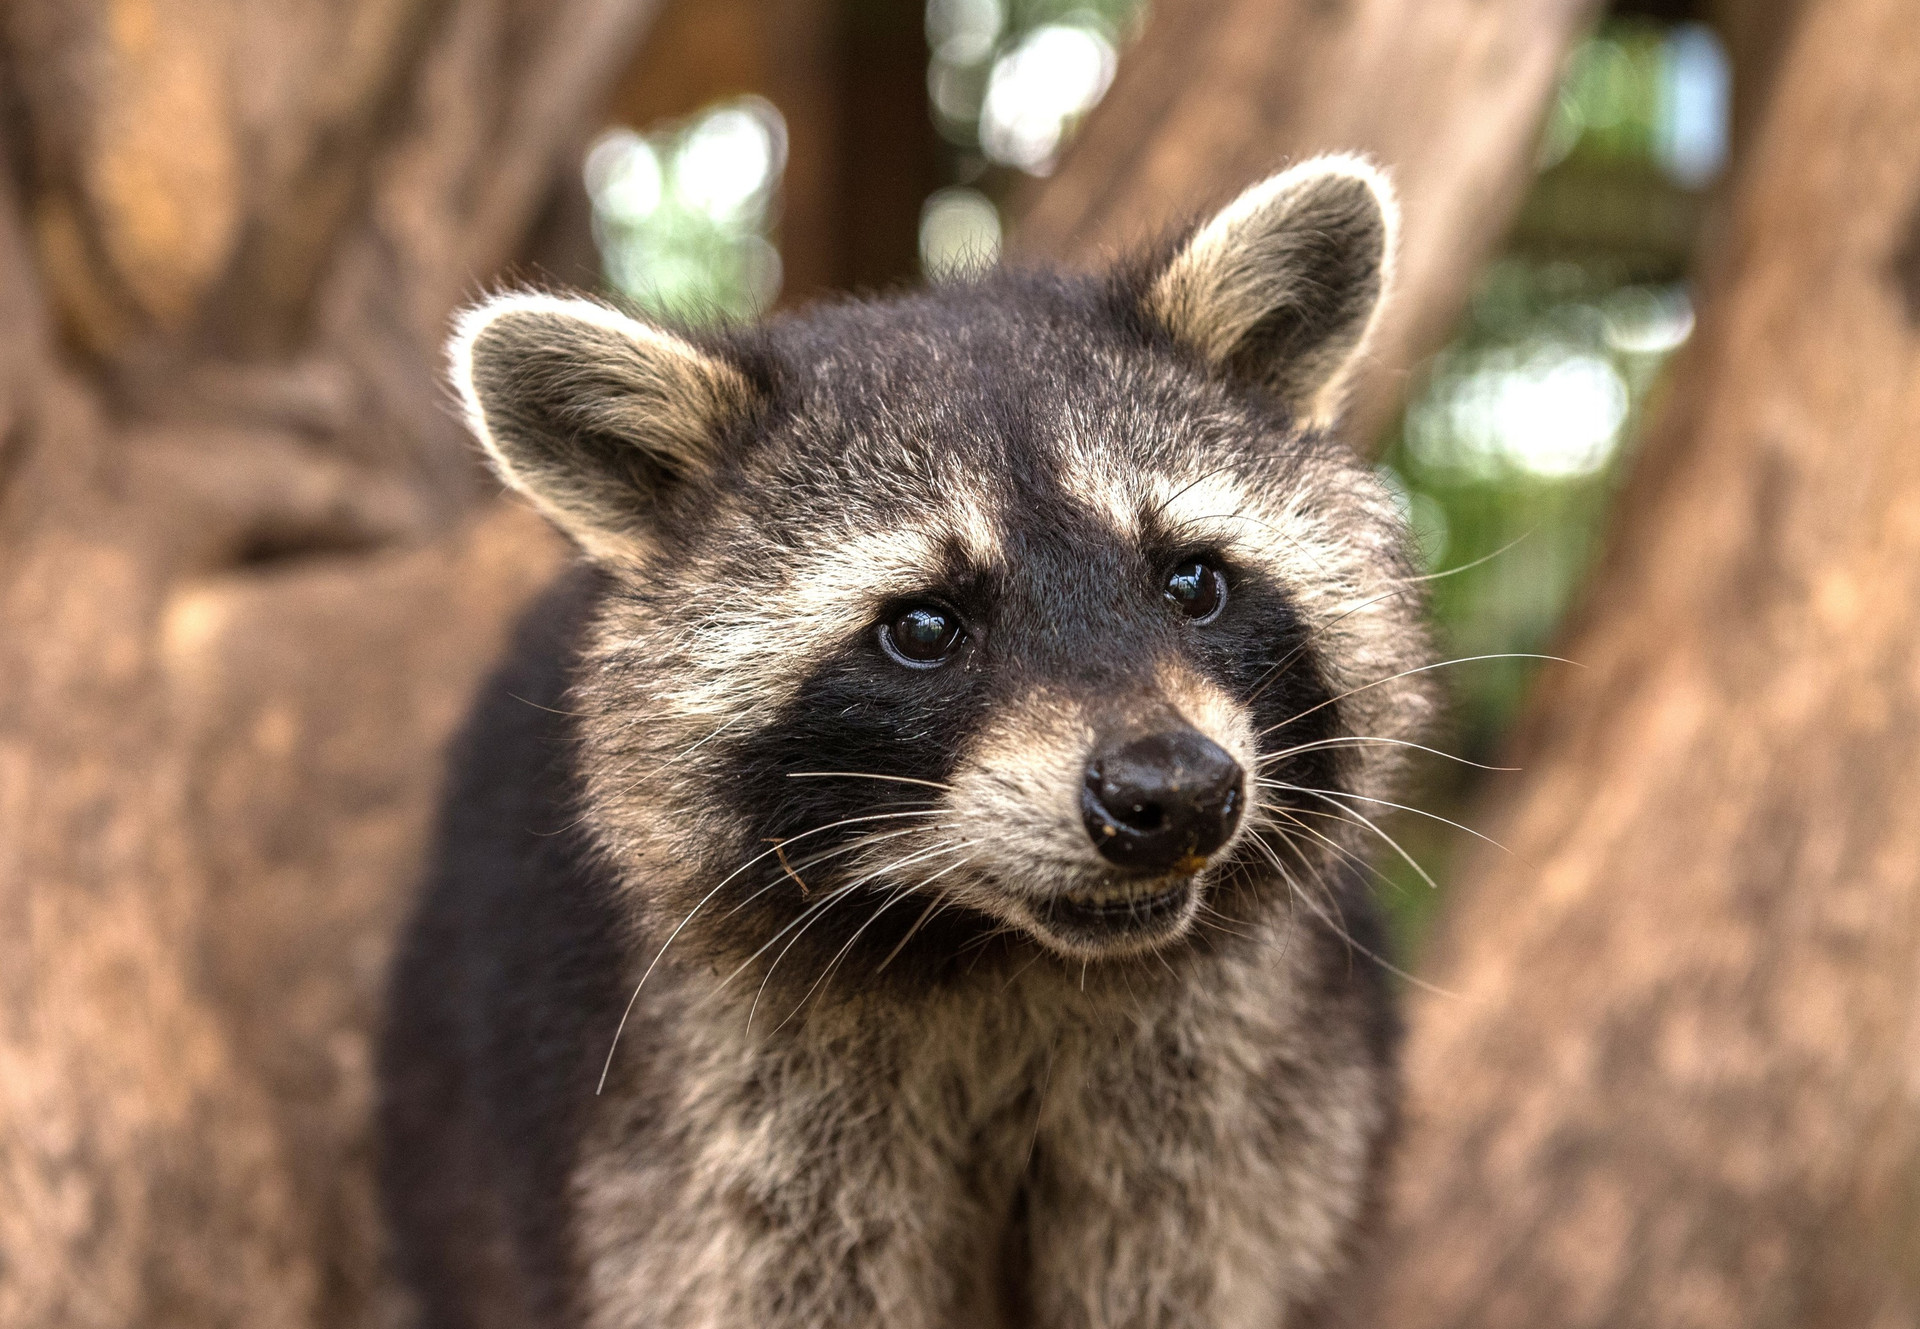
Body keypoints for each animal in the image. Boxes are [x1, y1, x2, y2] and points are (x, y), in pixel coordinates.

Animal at [379, 155, 1436, 1329]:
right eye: (924, 628)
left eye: (1192, 580)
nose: (1174, 794)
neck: (1002, 959)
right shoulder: (713, 1126)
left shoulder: (1226, 1109)